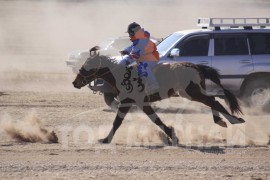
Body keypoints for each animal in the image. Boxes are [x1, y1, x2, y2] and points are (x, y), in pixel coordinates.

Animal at [73, 46, 246, 145]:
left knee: (214, 102)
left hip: (192, 93)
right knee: (213, 100)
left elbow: (120, 122)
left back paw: (234, 120)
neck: (123, 75)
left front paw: (105, 140)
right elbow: (153, 119)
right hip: (193, 92)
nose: (75, 82)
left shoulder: (133, 102)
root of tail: (195, 66)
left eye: (87, 66)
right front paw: (172, 136)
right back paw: (223, 120)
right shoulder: (136, 103)